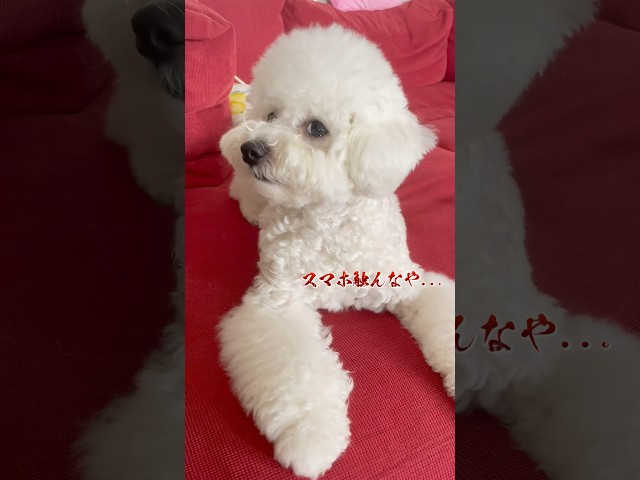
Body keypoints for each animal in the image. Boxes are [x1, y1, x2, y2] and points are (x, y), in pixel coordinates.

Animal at [219, 25, 455, 479]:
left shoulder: (406, 283)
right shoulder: (276, 303)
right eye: (271, 115)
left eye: (316, 128)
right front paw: (312, 438)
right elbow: (297, 372)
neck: (329, 222)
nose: (250, 149)